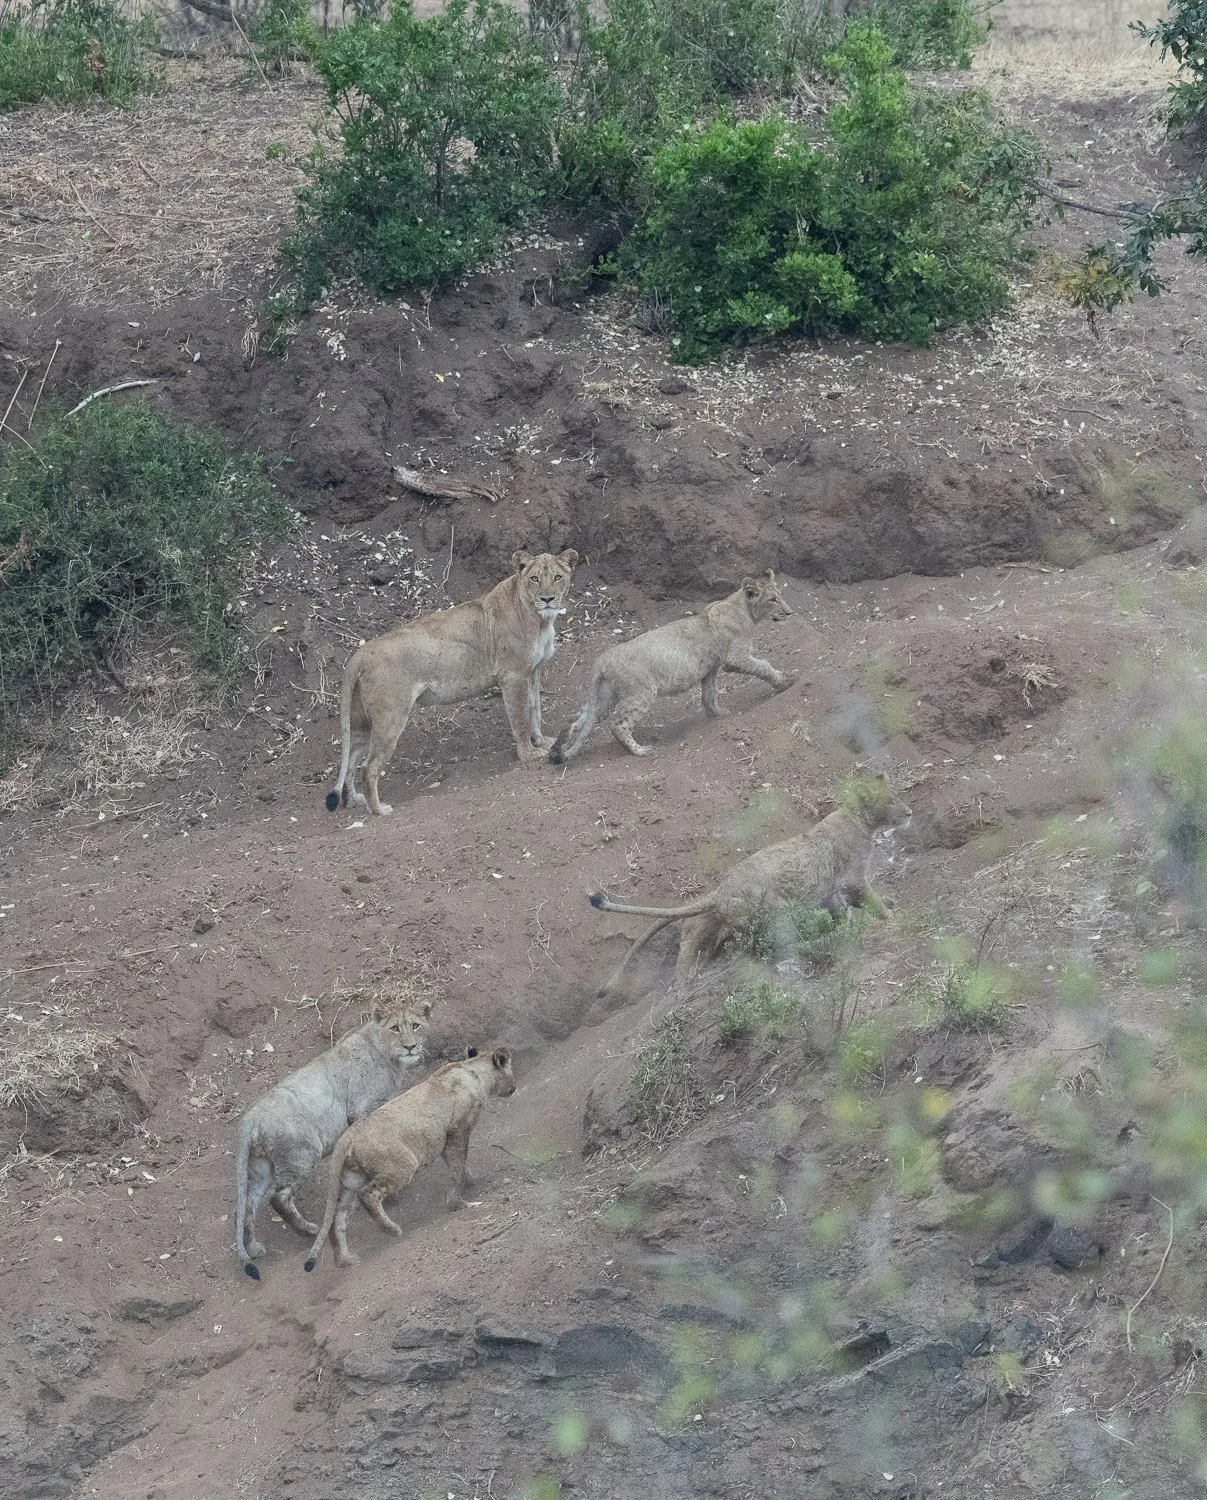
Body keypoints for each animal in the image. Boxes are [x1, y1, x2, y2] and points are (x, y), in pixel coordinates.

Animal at [233, 1000, 432, 1279]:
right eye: (395, 1028)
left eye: (416, 1025)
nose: (410, 1046)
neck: (383, 1052)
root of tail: (249, 1118)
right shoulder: (361, 1109)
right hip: (302, 1155)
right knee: (278, 1197)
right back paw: (310, 1230)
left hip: (261, 1167)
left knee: (247, 1207)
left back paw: (254, 1249)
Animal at [304, 1045, 516, 1270]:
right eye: (510, 1069)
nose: (514, 1087)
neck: (471, 1071)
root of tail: (347, 1136)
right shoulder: (457, 1131)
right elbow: (457, 1168)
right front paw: (458, 1203)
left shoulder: (447, 1139)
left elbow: (458, 1166)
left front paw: (471, 1182)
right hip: (403, 1165)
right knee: (368, 1195)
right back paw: (392, 1230)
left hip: (351, 1182)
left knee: (337, 1218)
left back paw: (345, 1260)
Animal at [326, 549, 578, 816]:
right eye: (534, 579)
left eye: (558, 577)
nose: (548, 599)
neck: (540, 620)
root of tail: (360, 654)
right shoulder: (513, 675)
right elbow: (520, 719)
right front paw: (529, 754)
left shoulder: (532, 671)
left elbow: (535, 709)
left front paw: (541, 740)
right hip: (391, 717)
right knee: (369, 767)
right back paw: (379, 810)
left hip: (361, 721)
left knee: (351, 759)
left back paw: (354, 800)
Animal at [549, 570, 794, 764]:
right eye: (772, 599)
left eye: (781, 596)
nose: (789, 612)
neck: (743, 608)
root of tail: (603, 658)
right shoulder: (734, 658)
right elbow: (764, 666)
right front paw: (785, 682)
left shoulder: (711, 668)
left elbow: (709, 694)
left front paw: (719, 715)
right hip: (641, 693)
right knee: (618, 726)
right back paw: (640, 751)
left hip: (606, 696)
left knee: (579, 718)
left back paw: (558, 749)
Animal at [589, 774, 912, 994]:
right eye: (891, 800)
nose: (909, 812)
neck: (862, 820)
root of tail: (723, 889)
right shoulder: (852, 879)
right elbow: (870, 899)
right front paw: (890, 916)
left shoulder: (831, 888)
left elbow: (844, 910)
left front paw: (855, 923)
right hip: (776, 911)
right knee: (769, 945)